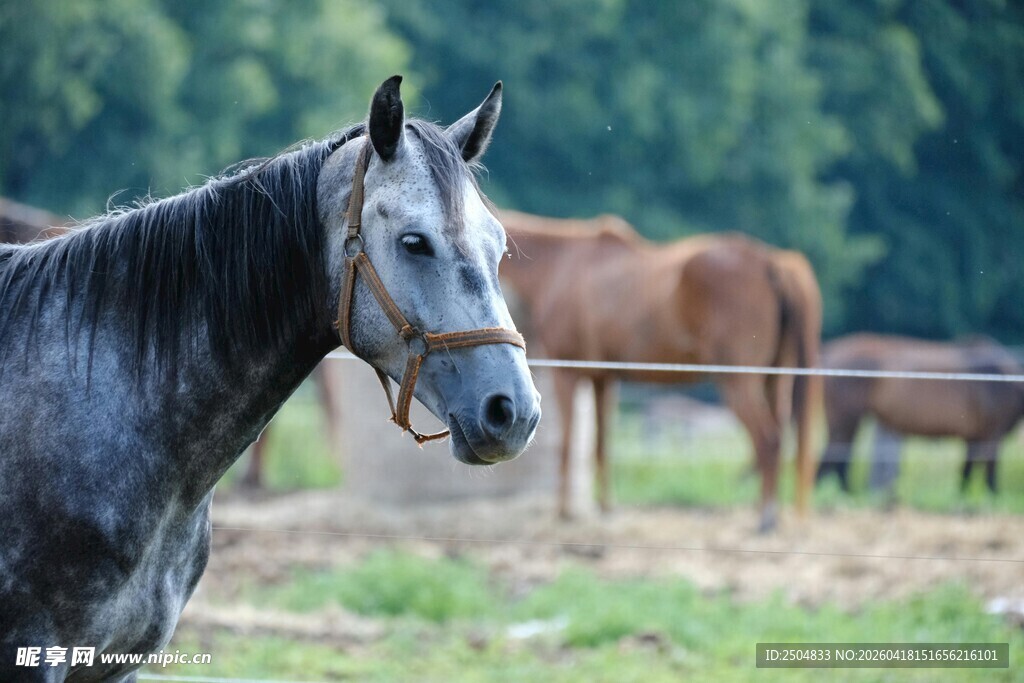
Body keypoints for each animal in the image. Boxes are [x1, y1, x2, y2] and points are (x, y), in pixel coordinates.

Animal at [498, 210, 822, 532]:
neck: (562, 265)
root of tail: (770, 261)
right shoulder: (603, 377)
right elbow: (602, 445)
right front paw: (605, 508)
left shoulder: (568, 373)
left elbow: (566, 445)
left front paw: (565, 512)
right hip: (774, 380)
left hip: (738, 383)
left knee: (768, 441)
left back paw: (765, 517)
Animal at [815, 333, 1024, 494]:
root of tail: (830, 352)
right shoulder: (993, 435)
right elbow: (990, 473)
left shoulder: (973, 438)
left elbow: (966, 473)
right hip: (845, 422)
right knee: (832, 459)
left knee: (837, 460)